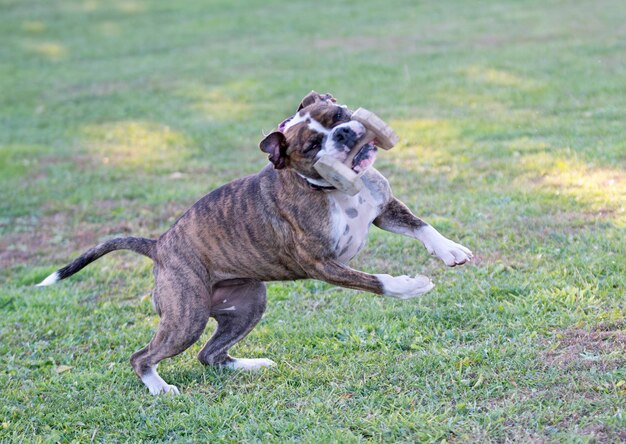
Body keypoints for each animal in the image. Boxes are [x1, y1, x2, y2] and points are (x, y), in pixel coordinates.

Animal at [37, 92, 468, 394]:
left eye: (339, 116)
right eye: (311, 147)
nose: (345, 132)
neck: (337, 189)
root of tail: (159, 245)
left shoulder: (384, 210)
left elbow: (422, 226)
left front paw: (450, 250)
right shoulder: (322, 264)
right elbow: (375, 281)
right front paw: (411, 286)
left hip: (247, 304)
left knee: (209, 354)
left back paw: (251, 365)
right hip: (186, 318)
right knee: (142, 356)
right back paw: (159, 387)